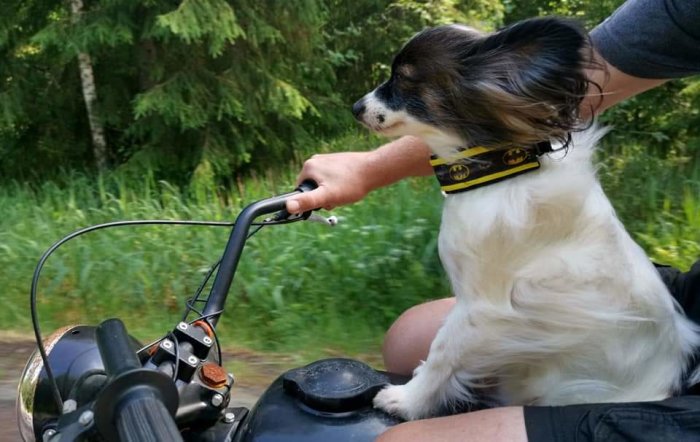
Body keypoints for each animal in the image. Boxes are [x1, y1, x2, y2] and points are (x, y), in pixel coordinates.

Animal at [352, 16, 700, 422]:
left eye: (404, 79)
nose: (356, 107)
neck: (500, 171)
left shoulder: (485, 311)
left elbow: (443, 353)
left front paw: (408, 399)